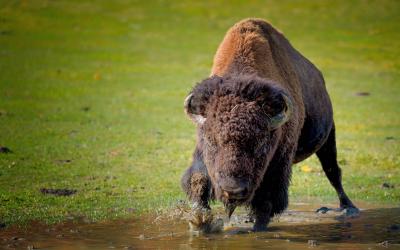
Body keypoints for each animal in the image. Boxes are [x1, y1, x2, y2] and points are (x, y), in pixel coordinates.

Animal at [180, 18, 358, 232]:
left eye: (260, 144)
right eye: (211, 141)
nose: (233, 190)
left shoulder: (278, 165)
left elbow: (267, 202)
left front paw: (257, 229)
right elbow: (198, 180)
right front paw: (199, 222)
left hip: (328, 138)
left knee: (333, 171)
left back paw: (349, 207)